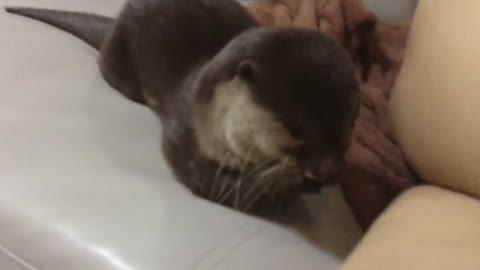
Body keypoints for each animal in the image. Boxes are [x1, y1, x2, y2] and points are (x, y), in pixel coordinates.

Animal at [5, 0, 360, 213]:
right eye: (294, 127)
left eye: (348, 132)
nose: (326, 171)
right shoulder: (186, 134)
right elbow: (217, 186)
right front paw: (284, 179)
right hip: (119, 64)